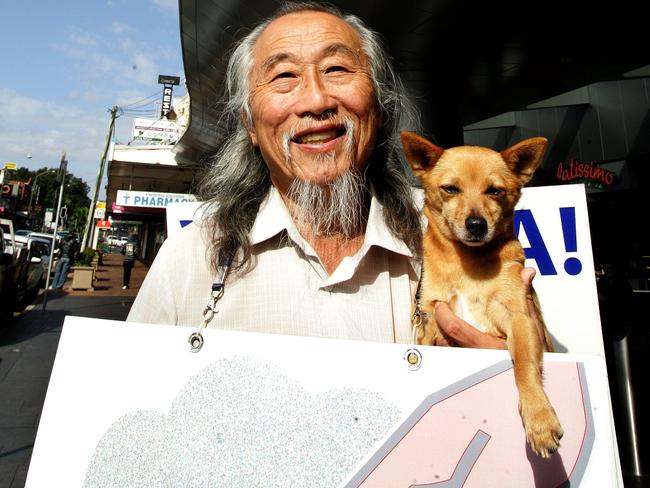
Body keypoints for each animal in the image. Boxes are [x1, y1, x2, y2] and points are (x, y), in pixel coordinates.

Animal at [400, 131, 560, 458]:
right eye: (450, 189)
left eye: (495, 191)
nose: (476, 225)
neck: (467, 264)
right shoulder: (430, 326)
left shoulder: (519, 318)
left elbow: (524, 365)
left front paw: (539, 418)